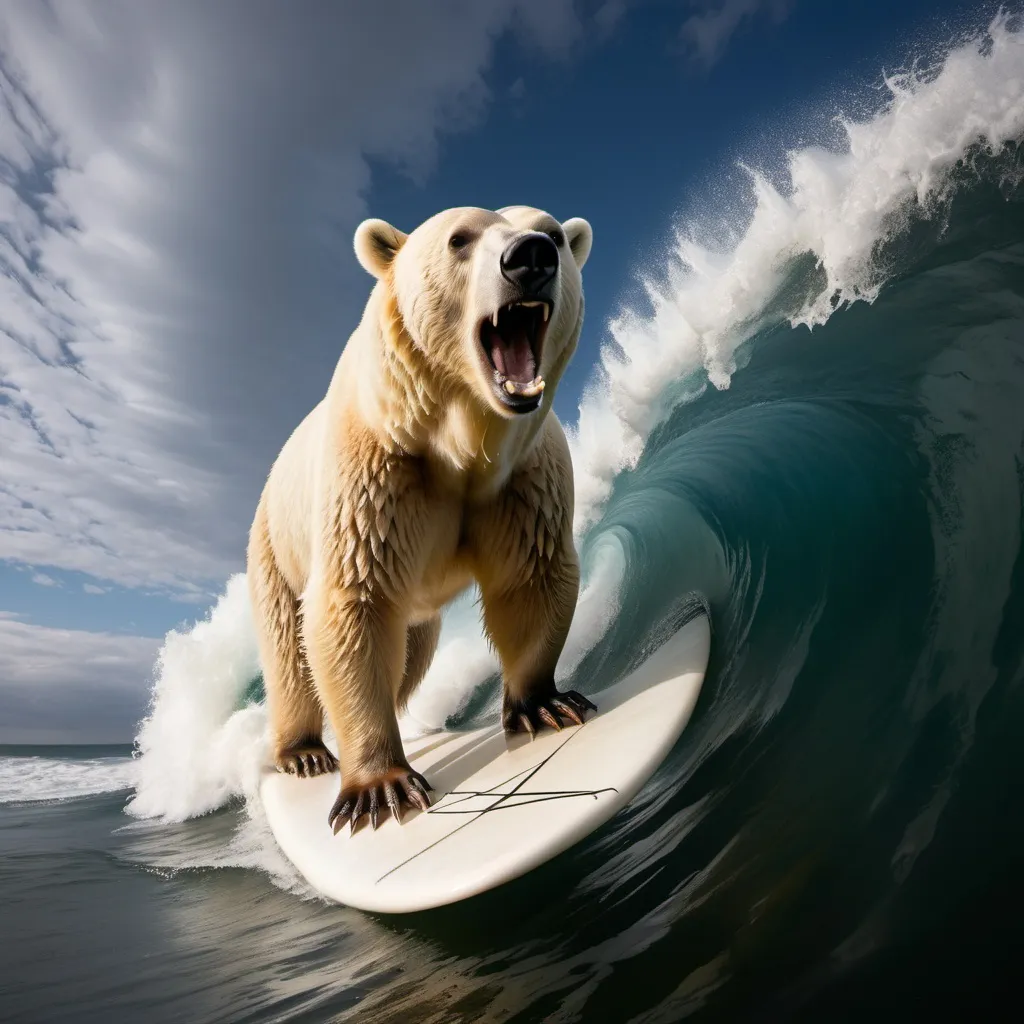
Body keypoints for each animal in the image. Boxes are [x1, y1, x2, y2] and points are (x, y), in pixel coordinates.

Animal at [247, 205, 598, 831]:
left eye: (554, 233)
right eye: (459, 239)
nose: (530, 257)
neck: (459, 447)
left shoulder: (523, 477)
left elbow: (531, 575)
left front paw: (547, 704)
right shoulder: (376, 473)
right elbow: (353, 603)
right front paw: (378, 786)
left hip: (420, 616)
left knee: (409, 657)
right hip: (273, 549)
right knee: (289, 654)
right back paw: (306, 751)